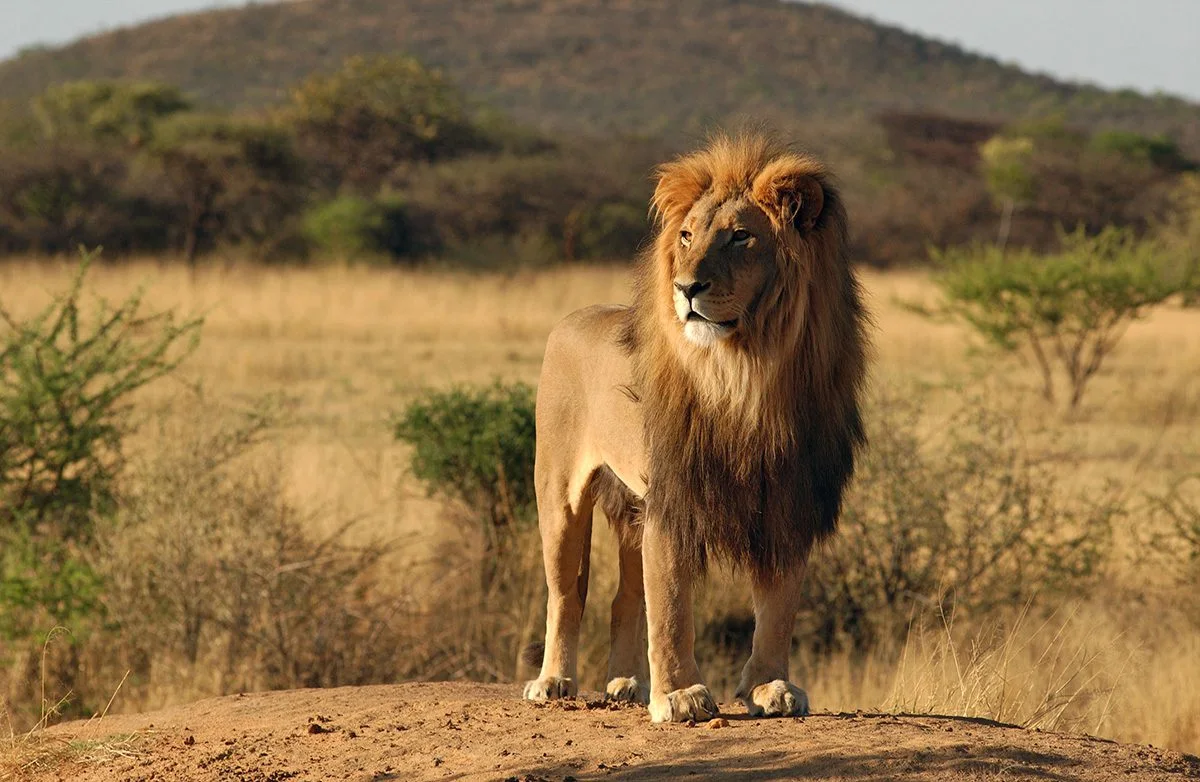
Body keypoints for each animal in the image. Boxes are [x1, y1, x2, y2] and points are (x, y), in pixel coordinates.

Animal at [522, 131, 869, 723]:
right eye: (686, 236)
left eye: (740, 237)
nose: (686, 287)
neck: (746, 374)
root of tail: (572, 317)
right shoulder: (674, 497)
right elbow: (672, 606)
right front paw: (680, 695)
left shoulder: (788, 499)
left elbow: (778, 606)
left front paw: (770, 687)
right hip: (560, 493)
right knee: (567, 593)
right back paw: (553, 681)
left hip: (631, 508)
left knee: (623, 597)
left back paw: (627, 684)